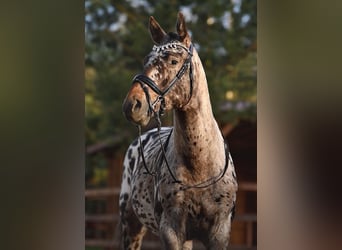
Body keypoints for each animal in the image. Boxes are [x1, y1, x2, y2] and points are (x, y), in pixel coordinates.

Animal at [120, 12, 238, 249]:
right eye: (146, 61)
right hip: (131, 226)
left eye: (173, 61)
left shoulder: (219, 233)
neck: (200, 166)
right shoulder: (171, 230)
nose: (132, 105)